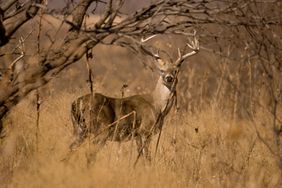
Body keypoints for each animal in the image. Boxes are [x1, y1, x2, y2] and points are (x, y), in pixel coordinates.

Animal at [67, 34, 200, 165]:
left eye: (176, 71)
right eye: (162, 70)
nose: (169, 78)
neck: (157, 106)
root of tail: (75, 104)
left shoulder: (137, 135)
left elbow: (140, 156)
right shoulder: (145, 130)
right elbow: (147, 158)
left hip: (79, 129)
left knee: (70, 149)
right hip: (100, 129)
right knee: (89, 154)